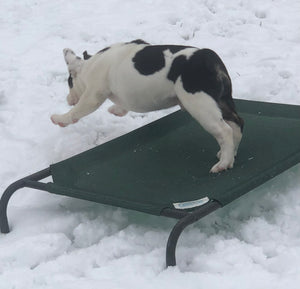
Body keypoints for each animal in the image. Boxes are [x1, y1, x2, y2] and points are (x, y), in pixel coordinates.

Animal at [51, 39, 244, 172]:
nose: (68, 98)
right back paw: (230, 155)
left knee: (224, 131)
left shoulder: (93, 95)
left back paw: (223, 164)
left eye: (69, 82)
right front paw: (116, 110)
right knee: (237, 124)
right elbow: (121, 105)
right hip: (222, 102)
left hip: (201, 106)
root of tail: (212, 61)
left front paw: (60, 119)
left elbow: (78, 110)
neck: (88, 65)